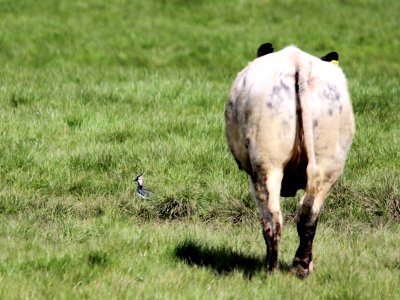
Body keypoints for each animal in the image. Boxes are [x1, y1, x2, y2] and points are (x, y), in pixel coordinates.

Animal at [225, 45, 356, 278]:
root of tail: (298, 62)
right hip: (328, 165)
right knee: (308, 217)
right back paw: (302, 266)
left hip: (267, 164)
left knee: (273, 219)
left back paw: (271, 269)